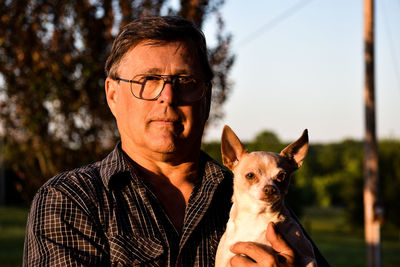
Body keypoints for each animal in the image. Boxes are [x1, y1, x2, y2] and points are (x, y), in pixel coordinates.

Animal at [214, 126, 318, 267]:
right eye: (250, 175)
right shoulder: (223, 261)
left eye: (281, 176)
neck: (257, 216)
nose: (270, 188)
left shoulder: (308, 259)